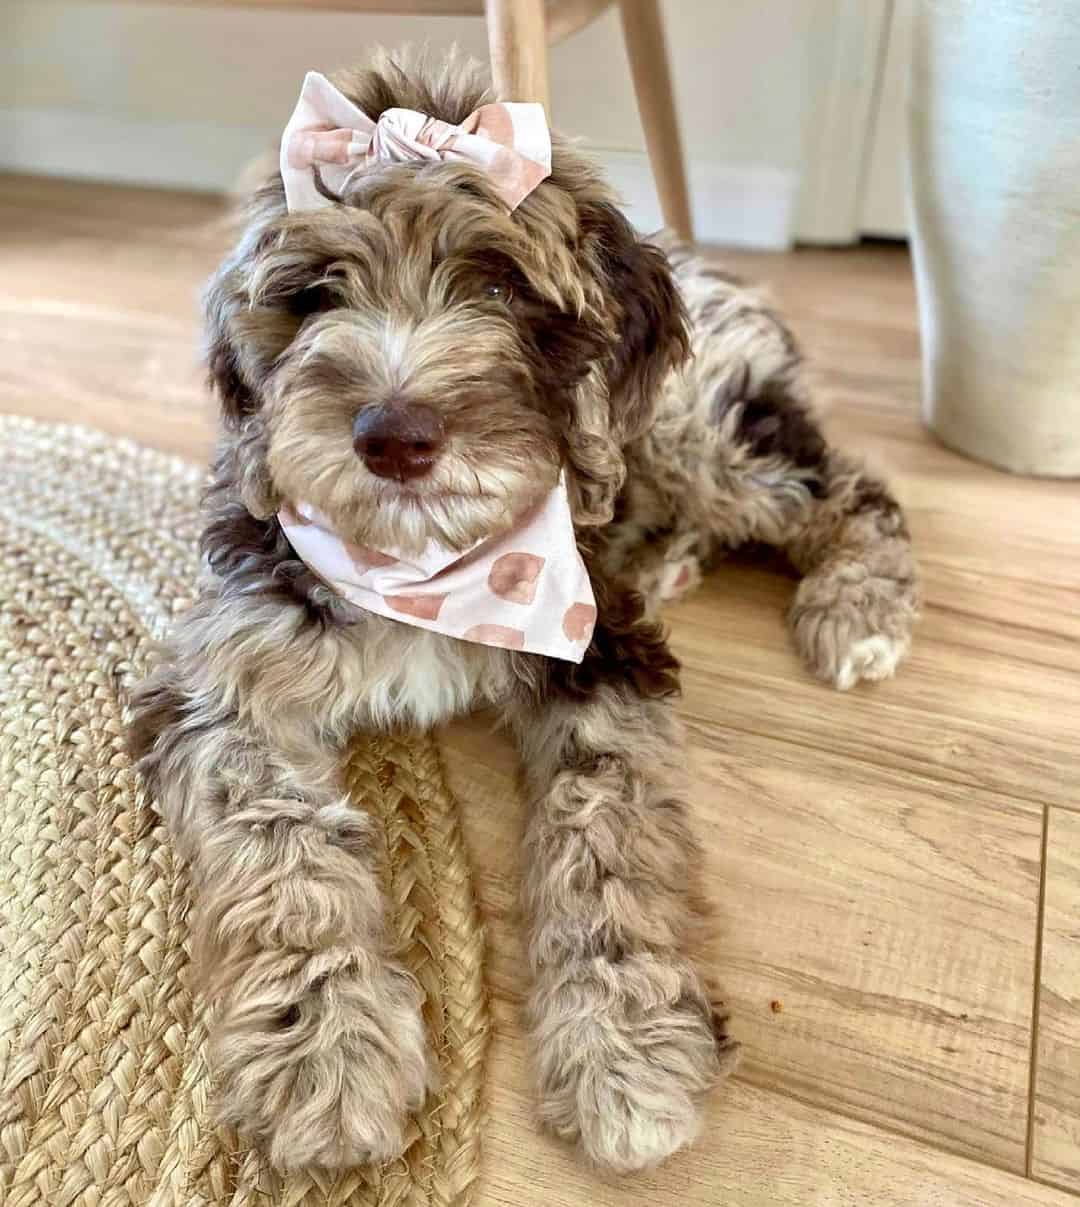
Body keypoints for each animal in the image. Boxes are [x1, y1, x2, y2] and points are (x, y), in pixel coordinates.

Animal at [130, 51, 917, 1173]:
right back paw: (677, 559)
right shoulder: (222, 680)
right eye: (313, 295)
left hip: (704, 429)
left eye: (502, 284)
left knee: (852, 488)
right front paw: (321, 1051)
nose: (394, 435)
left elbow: (608, 830)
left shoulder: (603, 653)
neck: (432, 567)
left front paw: (629, 1045)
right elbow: (276, 844)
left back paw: (857, 610)